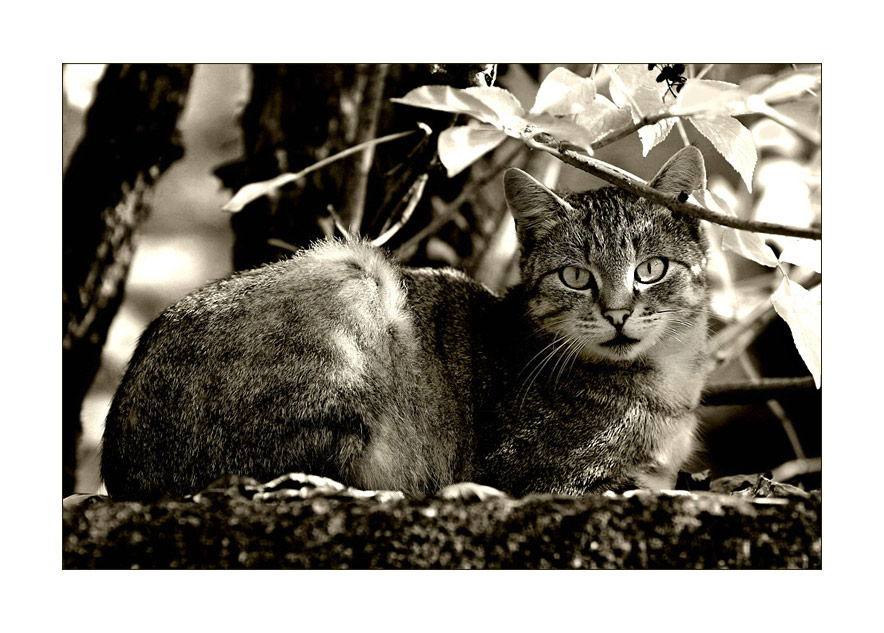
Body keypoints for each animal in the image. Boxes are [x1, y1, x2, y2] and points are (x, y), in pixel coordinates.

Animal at [98, 146, 712, 502]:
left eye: (651, 269)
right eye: (576, 276)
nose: (618, 312)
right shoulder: (536, 476)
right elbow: (626, 481)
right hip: (354, 276)